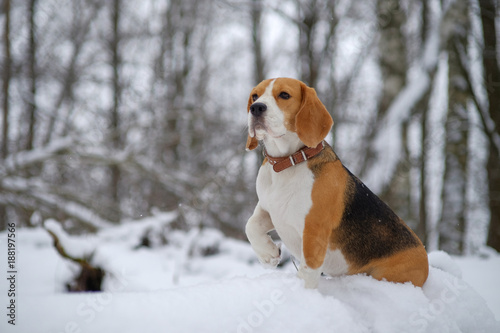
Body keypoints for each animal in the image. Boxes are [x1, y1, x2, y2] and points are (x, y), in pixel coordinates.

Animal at [244, 76, 428, 286]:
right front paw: (268, 254)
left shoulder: (314, 232)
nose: (256, 108)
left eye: (284, 95)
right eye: (255, 96)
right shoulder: (269, 208)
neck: (287, 163)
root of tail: (424, 257)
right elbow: (250, 225)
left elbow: (308, 270)